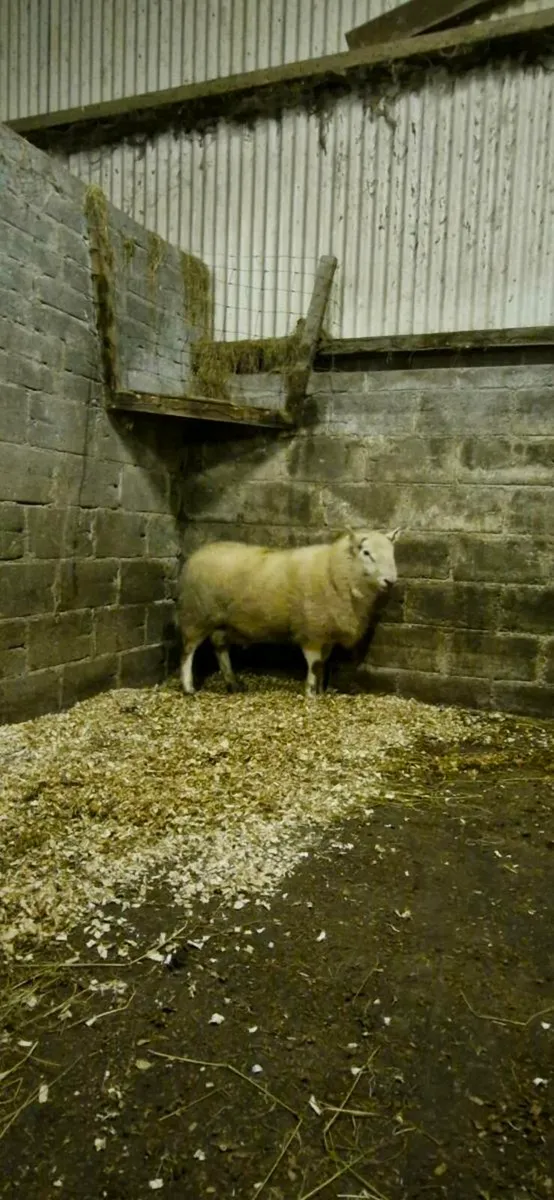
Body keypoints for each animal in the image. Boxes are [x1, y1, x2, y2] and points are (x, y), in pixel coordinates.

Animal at [178, 527, 399, 698]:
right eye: (366, 553)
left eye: (392, 552)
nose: (390, 581)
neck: (334, 572)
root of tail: (198, 553)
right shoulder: (311, 630)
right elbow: (314, 665)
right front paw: (310, 693)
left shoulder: (325, 632)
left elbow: (322, 664)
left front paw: (320, 691)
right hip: (196, 615)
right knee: (188, 650)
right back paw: (188, 687)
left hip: (222, 621)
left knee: (220, 647)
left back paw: (233, 683)